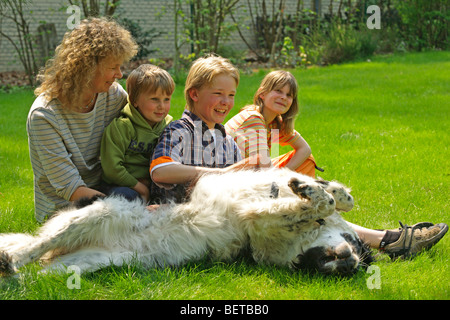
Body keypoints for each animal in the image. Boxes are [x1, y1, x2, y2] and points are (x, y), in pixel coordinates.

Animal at [0, 168, 372, 278]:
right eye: (356, 247)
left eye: (354, 267)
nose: (347, 265)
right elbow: (335, 200)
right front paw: (316, 189)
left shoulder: (255, 219)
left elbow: (315, 204)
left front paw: (311, 194)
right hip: (102, 213)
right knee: (35, 247)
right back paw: (11, 259)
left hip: (90, 262)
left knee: (37, 271)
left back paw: (12, 272)